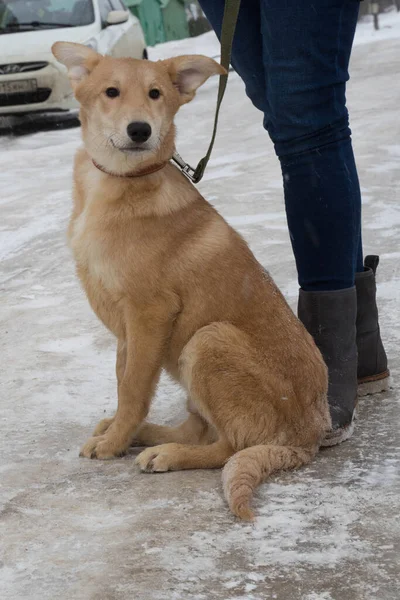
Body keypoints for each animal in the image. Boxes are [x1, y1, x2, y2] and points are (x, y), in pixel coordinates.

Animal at [51, 42, 330, 520]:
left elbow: (133, 387)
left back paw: (166, 453)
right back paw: (151, 435)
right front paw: (121, 431)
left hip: (207, 339)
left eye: (156, 94)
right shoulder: (127, 327)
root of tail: (306, 439)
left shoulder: (149, 312)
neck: (118, 182)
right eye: (111, 92)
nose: (140, 130)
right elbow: (124, 380)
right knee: (201, 429)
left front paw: (115, 442)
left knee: (229, 446)